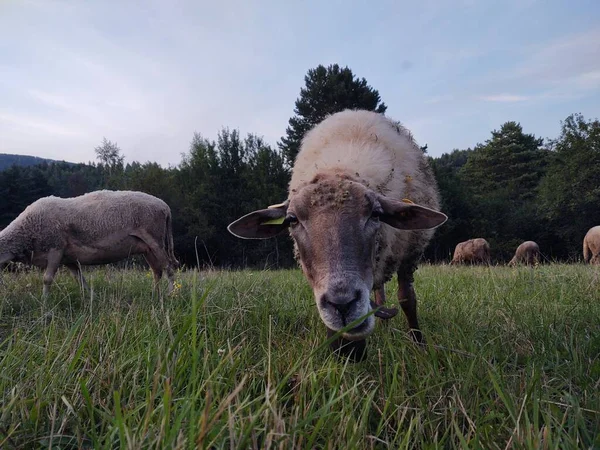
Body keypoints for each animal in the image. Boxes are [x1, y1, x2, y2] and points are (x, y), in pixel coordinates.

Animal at [0, 189, 178, 296]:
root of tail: (165, 206)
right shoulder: (68, 258)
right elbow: (80, 280)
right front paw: (92, 298)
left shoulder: (56, 248)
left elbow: (47, 279)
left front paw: (45, 305)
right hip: (147, 247)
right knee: (157, 271)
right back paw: (155, 294)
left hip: (155, 239)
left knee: (169, 268)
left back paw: (170, 295)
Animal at [227, 110, 448, 362]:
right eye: (292, 219)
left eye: (375, 214)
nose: (342, 305)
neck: (338, 168)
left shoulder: (410, 253)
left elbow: (407, 299)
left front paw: (419, 345)